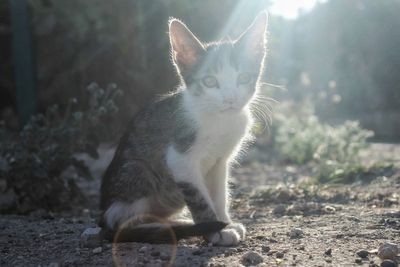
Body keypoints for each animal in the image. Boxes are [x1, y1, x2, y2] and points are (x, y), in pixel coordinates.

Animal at [100, 12, 268, 247]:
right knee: (124, 223)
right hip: (136, 173)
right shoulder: (179, 159)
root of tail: (102, 217)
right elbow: (200, 199)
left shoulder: (219, 162)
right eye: (209, 81)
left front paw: (225, 221)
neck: (219, 119)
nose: (230, 99)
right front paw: (215, 230)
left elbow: (219, 195)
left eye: (243, 78)